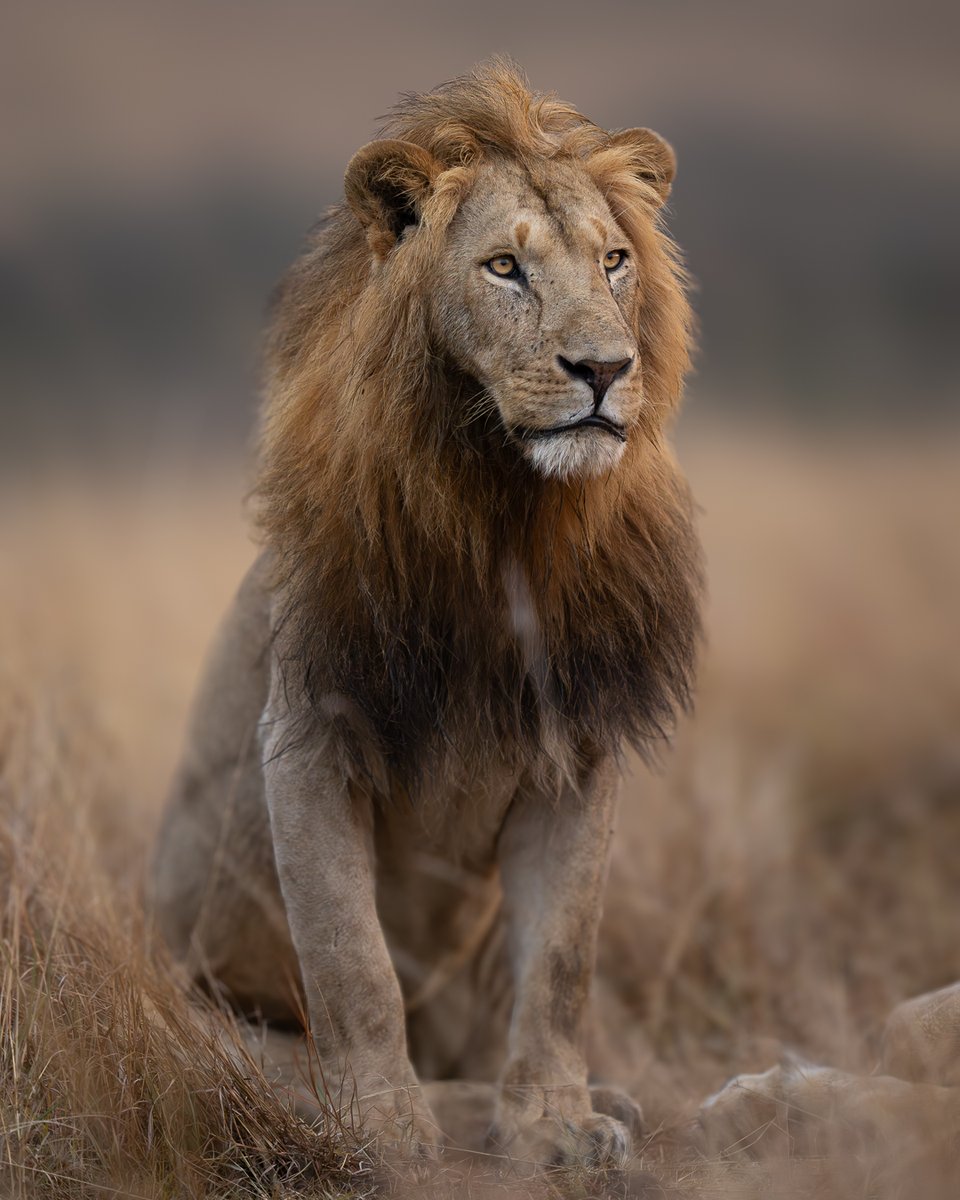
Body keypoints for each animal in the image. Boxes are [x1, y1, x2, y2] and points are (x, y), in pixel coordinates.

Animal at [149, 60, 702, 1166]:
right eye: (504, 269)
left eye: (614, 260)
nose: (605, 370)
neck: (510, 517)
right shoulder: (307, 738)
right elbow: (351, 961)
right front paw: (383, 1123)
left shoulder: (578, 757)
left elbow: (561, 964)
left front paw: (552, 1119)